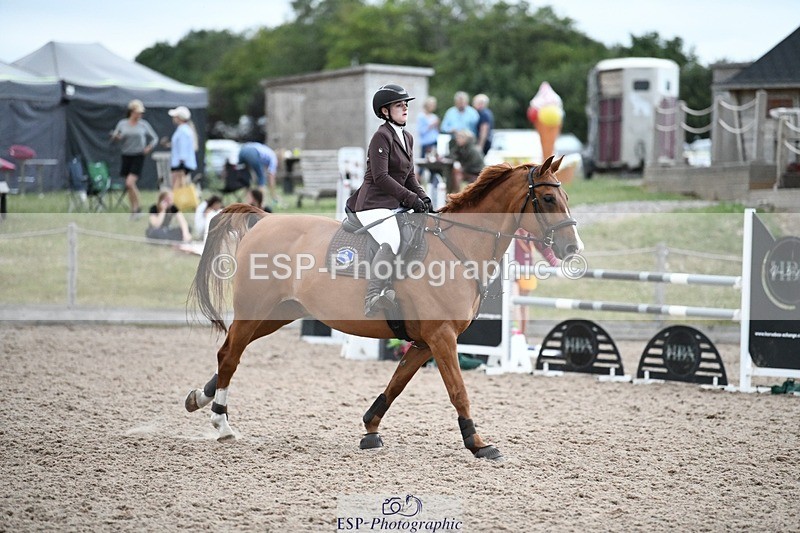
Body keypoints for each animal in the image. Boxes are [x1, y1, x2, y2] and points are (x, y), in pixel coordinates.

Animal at [186, 155, 582, 460]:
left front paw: (370, 430)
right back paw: (221, 422)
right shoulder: (442, 337)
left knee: (231, 353)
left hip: (278, 315)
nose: (573, 249)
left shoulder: (425, 341)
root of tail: (265, 219)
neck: (458, 246)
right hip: (256, 311)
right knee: (229, 355)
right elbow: (458, 391)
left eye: (564, 195)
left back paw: (199, 398)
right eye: (548, 198)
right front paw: (478, 443)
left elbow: (396, 385)